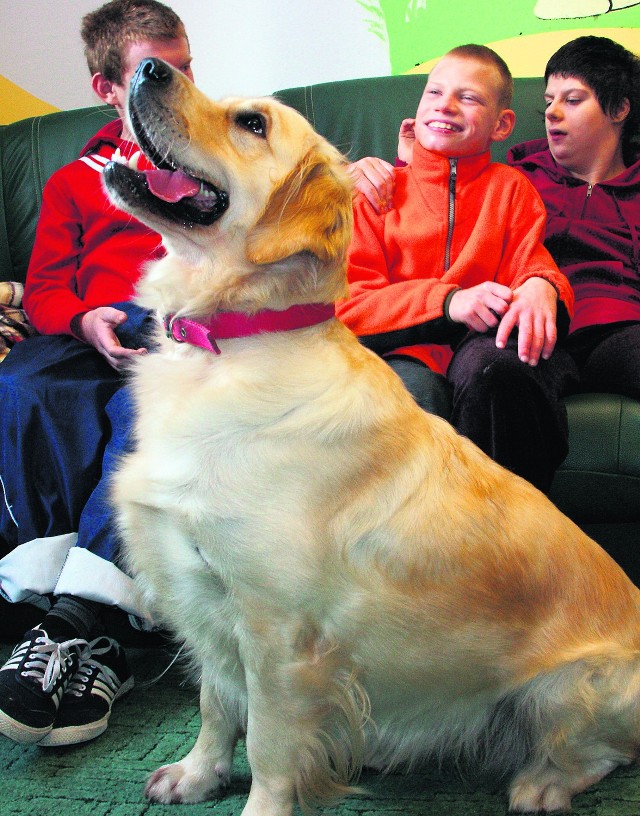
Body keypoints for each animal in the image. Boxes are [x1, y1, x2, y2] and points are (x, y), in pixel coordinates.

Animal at [105, 59, 640, 816]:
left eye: (252, 123)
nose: (147, 67)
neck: (230, 344)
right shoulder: (206, 596)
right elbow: (215, 701)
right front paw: (197, 773)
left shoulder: (277, 629)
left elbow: (267, 741)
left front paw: (257, 800)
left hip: (567, 690)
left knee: (599, 754)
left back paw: (540, 784)